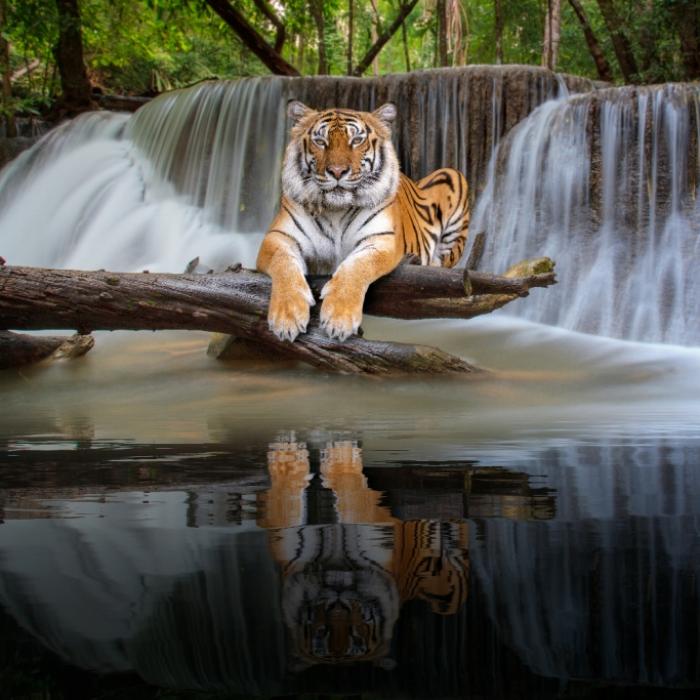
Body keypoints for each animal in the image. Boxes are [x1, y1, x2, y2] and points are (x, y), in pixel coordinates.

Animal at [256, 100, 470, 342]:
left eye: (356, 140)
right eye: (320, 142)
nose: (337, 171)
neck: (336, 210)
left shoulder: (381, 240)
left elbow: (357, 266)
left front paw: (339, 317)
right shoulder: (279, 237)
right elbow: (284, 265)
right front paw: (287, 316)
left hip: (452, 175)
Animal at [257, 438, 470, 668]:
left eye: (356, 636)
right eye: (321, 633)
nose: (338, 605)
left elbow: (352, 495)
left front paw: (341, 455)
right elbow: (283, 503)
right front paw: (286, 458)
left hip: (449, 596)